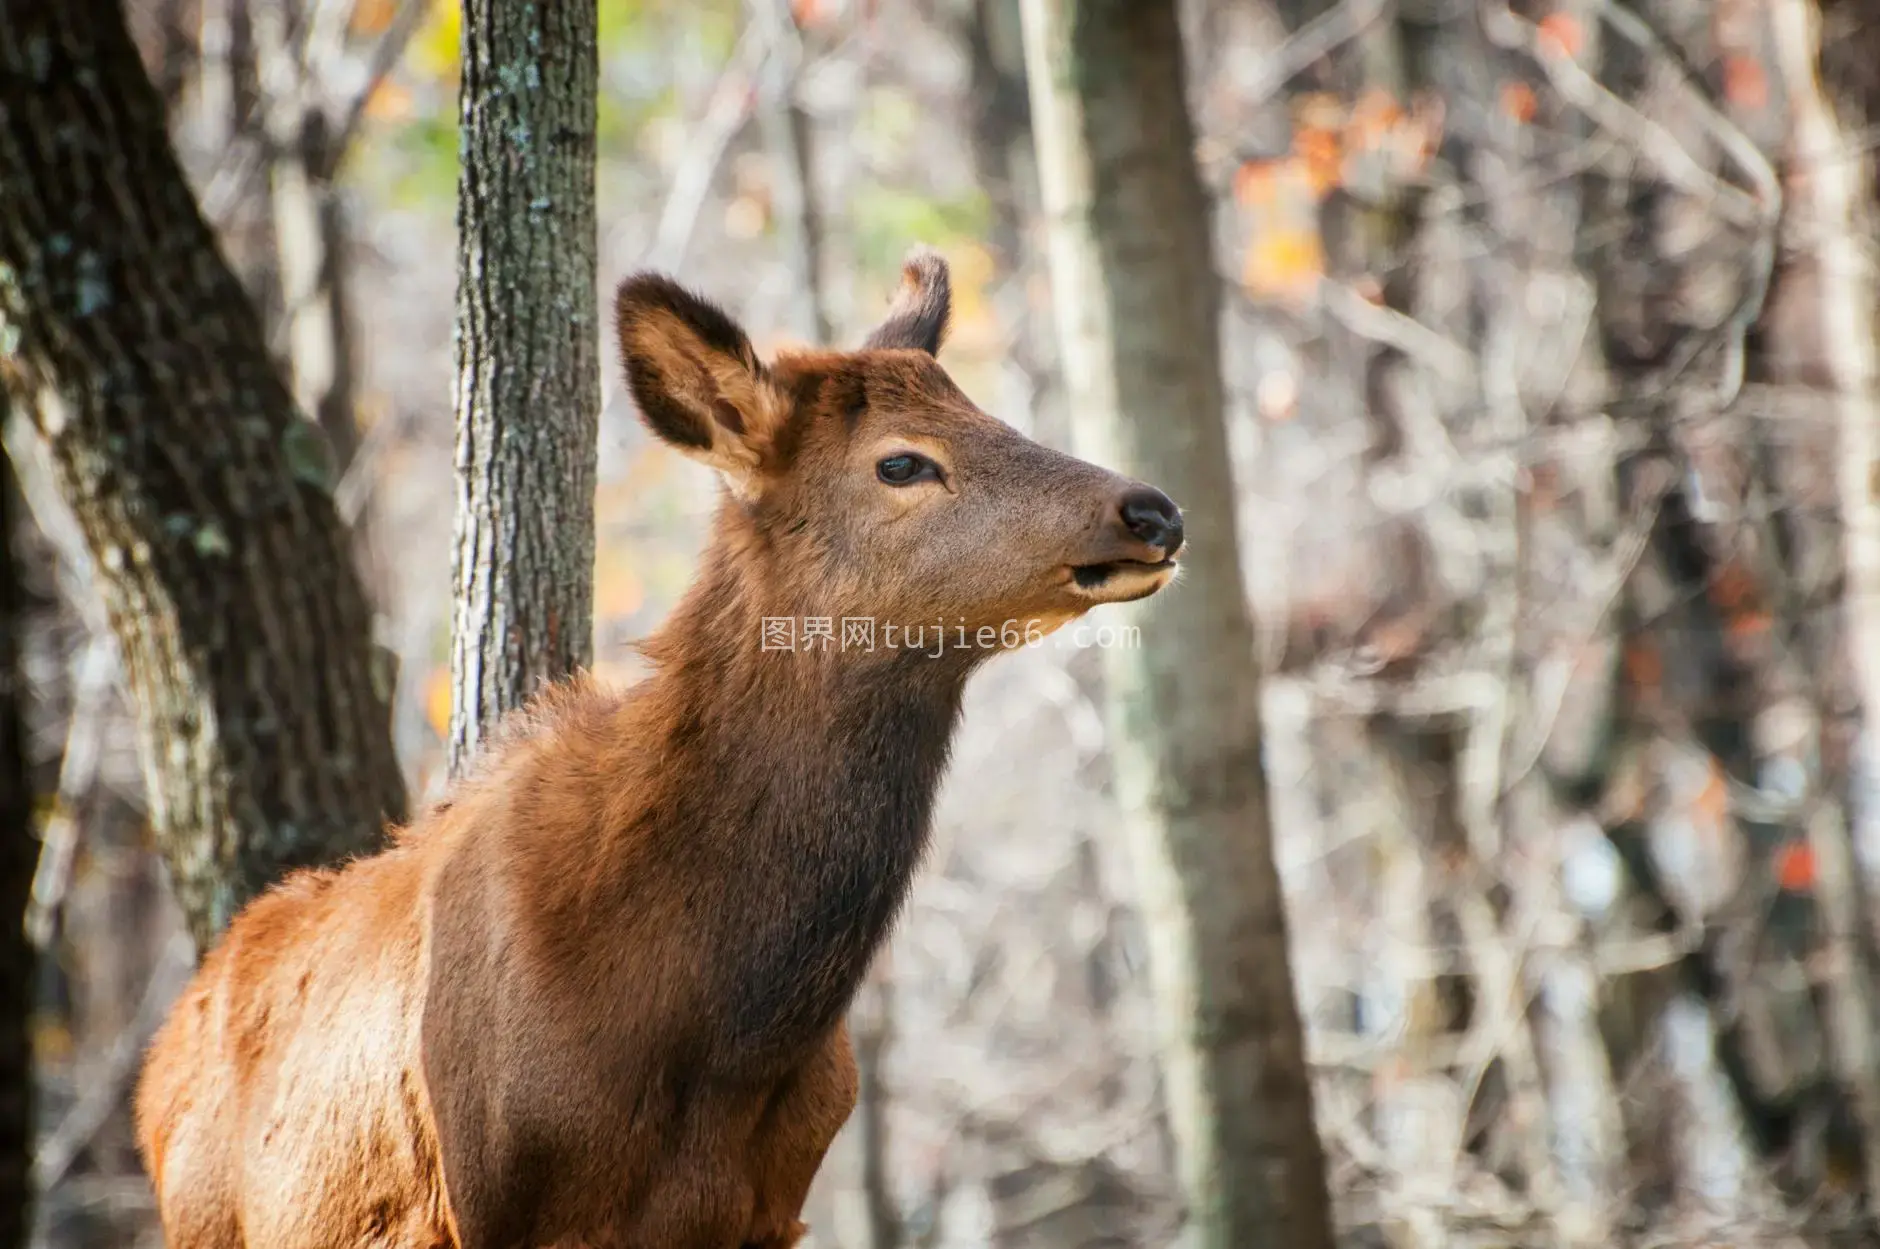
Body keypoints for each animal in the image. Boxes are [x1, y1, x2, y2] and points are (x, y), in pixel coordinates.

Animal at [139, 248, 1180, 1241]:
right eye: (902, 463)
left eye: (988, 413)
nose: (1154, 510)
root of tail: (158, 1067)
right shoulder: (479, 1206)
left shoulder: (767, 1211)